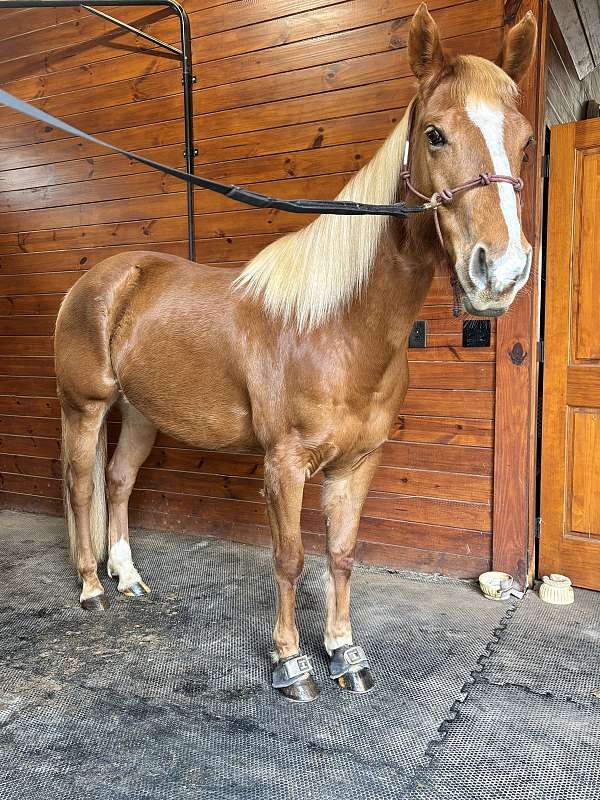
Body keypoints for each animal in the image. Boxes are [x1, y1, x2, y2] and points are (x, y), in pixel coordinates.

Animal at [54, 4, 537, 702]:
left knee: (117, 482)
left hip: (142, 412)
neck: (336, 326)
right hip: (85, 406)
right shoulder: (283, 463)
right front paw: (290, 664)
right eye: (435, 135)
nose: (499, 274)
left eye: (524, 142)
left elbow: (340, 555)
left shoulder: (357, 463)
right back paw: (92, 587)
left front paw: (344, 655)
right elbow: (289, 558)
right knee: (81, 483)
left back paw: (129, 578)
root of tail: (102, 280)